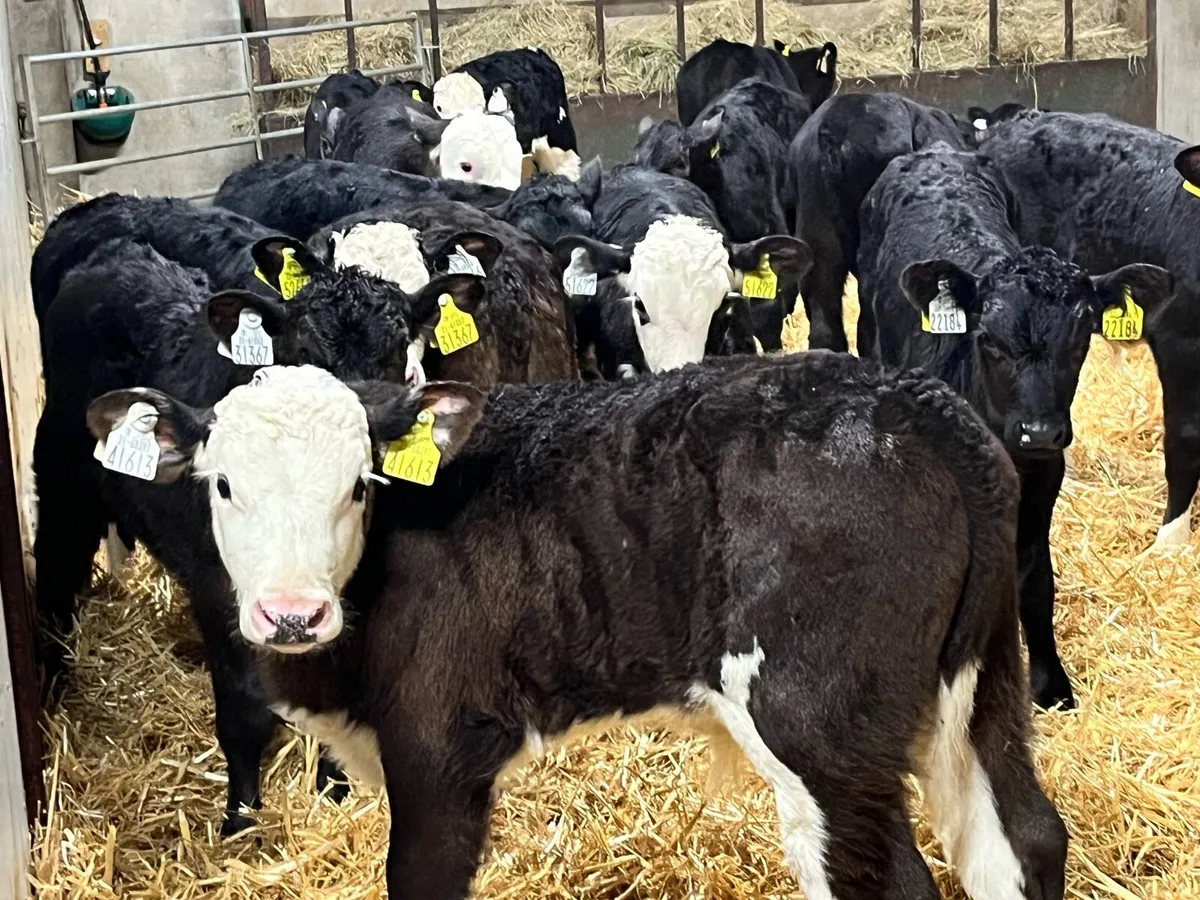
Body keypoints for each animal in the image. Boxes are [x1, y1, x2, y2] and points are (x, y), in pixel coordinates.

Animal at [34, 238, 485, 835]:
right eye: (223, 484)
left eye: (399, 352)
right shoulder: (216, 593)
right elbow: (243, 712)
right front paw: (241, 817)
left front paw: (333, 787)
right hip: (61, 478)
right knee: (54, 572)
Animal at [88, 356, 1068, 900]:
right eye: (221, 484)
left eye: (359, 485)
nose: (292, 613)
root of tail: (916, 403)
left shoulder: (441, 745)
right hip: (980, 678)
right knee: (1021, 841)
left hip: (821, 729)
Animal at [857, 142, 1176, 710]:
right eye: (988, 338)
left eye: (1081, 338)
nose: (1038, 430)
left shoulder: (1044, 479)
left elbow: (1035, 579)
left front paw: (1050, 682)